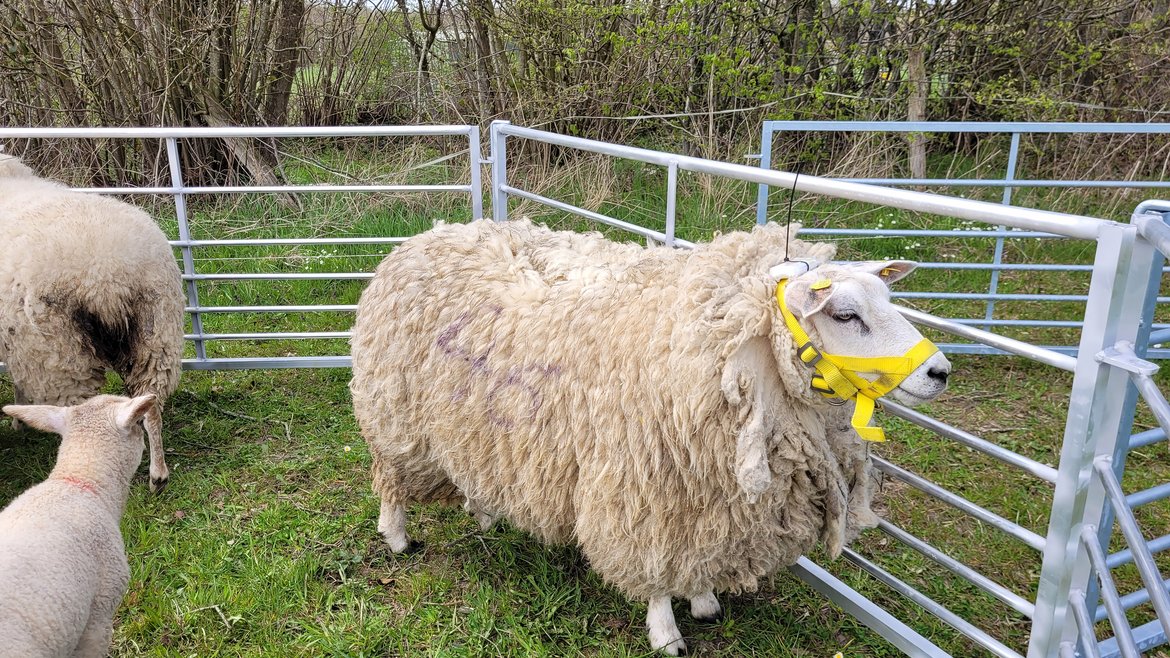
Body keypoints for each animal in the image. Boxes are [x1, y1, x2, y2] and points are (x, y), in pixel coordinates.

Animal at [0, 154, 183, 491]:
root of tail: (107, 273)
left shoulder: (20, 342)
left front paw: (18, 419)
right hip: (157, 330)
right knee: (151, 403)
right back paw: (158, 476)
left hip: (60, 354)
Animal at [348, 216, 950, 650]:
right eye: (845, 315)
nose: (939, 372)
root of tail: (426, 234)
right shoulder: (647, 489)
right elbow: (655, 569)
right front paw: (667, 632)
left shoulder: (710, 497)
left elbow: (701, 554)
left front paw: (705, 600)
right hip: (395, 415)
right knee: (391, 479)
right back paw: (397, 536)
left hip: (477, 423)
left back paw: (485, 511)